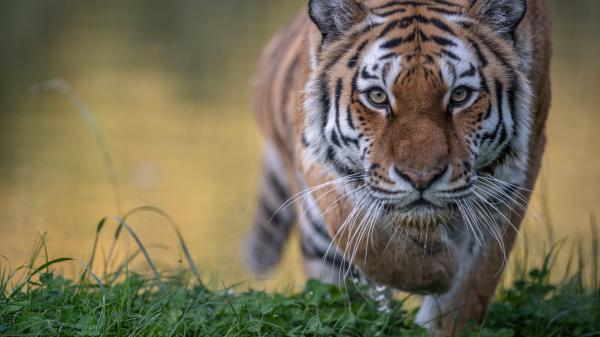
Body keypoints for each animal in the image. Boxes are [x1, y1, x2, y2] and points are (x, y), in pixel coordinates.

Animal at [243, 0, 548, 334]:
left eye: (459, 95)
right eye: (378, 97)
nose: (421, 178)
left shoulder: (510, 181)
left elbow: (468, 291)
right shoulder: (317, 159)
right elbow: (369, 240)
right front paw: (439, 269)